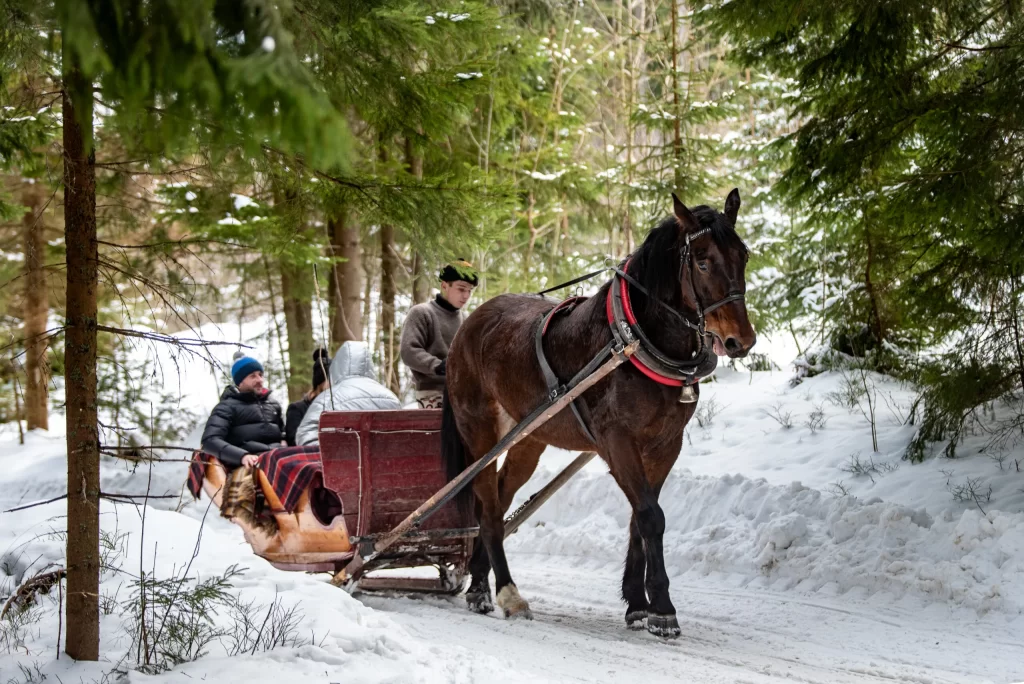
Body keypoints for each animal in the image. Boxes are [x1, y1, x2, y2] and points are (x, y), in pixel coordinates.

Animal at [436, 189, 757, 638]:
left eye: (743, 255)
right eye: (703, 261)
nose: (740, 340)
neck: (634, 340)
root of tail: (467, 327)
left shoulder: (665, 445)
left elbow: (640, 519)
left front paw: (637, 603)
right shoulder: (617, 440)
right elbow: (650, 516)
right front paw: (662, 609)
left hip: (528, 439)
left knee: (498, 500)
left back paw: (479, 583)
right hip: (480, 433)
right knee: (487, 505)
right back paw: (506, 592)